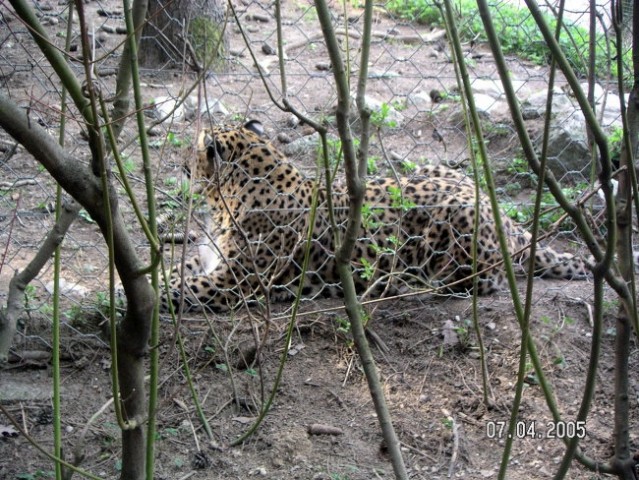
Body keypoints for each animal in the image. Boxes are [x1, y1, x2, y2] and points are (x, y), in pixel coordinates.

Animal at [161, 119, 592, 314]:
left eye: (190, 151)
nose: (179, 162)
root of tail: (506, 220)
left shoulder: (233, 282)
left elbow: (178, 287)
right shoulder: (207, 260)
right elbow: (174, 272)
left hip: (458, 228)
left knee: (477, 282)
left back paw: (399, 282)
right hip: (435, 170)